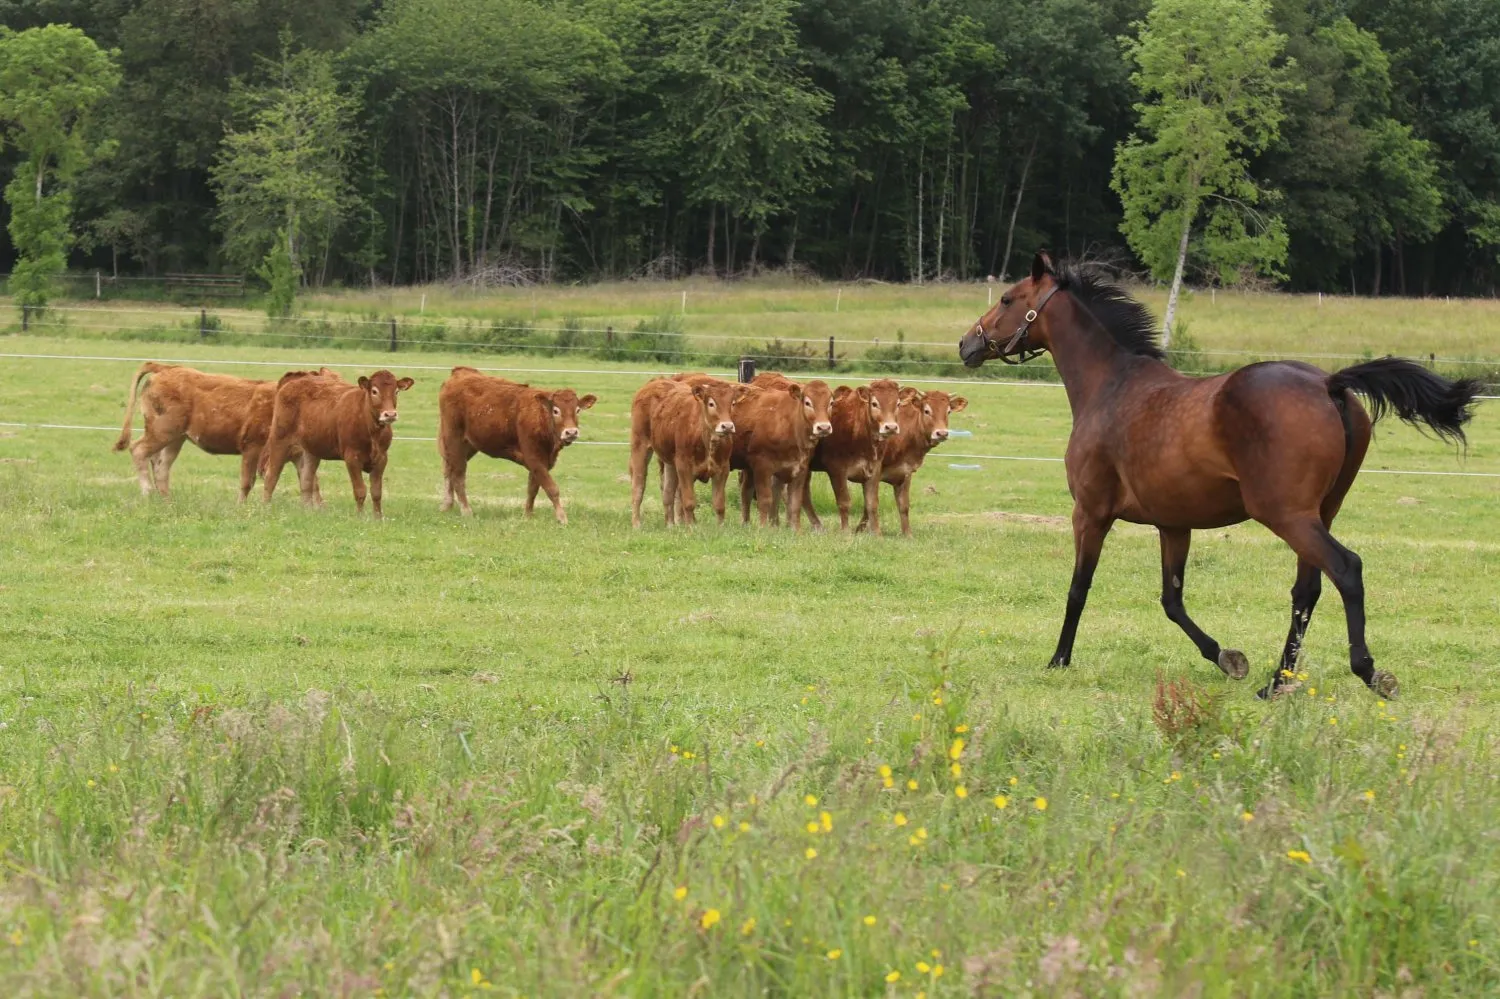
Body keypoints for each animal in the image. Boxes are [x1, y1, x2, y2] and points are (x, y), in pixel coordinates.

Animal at [958, 251, 1481, 699]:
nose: (966, 344)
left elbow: (1078, 589)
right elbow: (1172, 601)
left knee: (1346, 570)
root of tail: (1328, 383)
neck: (1111, 386)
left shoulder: (1090, 513)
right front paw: (1228, 658)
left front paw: (1059, 660)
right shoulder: (1173, 525)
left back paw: (1369, 672)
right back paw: (1276, 681)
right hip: (1319, 513)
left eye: (1008, 299)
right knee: (1307, 589)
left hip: (1287, 515)